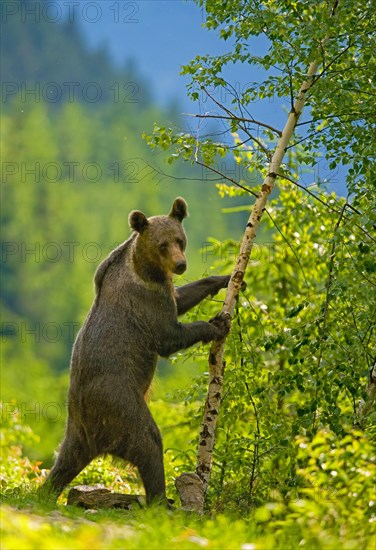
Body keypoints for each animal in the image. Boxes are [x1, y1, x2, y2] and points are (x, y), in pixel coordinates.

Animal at [40, 199, 229, 508]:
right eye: (162, 245)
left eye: (180, 239)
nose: (180, 264)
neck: (146, 269)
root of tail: (83, 425)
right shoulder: (145, 301)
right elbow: (168, 335)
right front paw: (217, 324)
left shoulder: (165, 290)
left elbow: (181, 298)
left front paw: (225, 278)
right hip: (119, 401)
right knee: (148, 440)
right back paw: (162, 500)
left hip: (79, 429)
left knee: (65, 461)